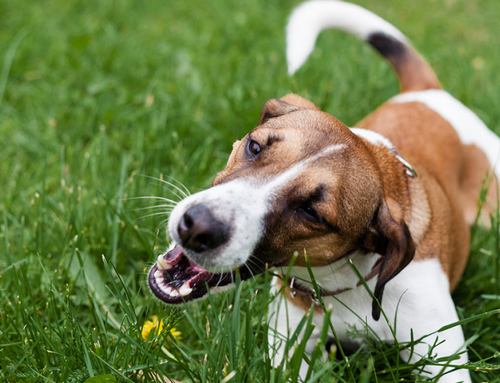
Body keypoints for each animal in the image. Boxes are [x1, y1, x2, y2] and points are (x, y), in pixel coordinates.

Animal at [149, 1, 500, 382]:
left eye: (311, 211)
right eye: (254, 147)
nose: (196, 226)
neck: (350, 282)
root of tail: (426, 93)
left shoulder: (441, 355)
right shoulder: (289, 346)